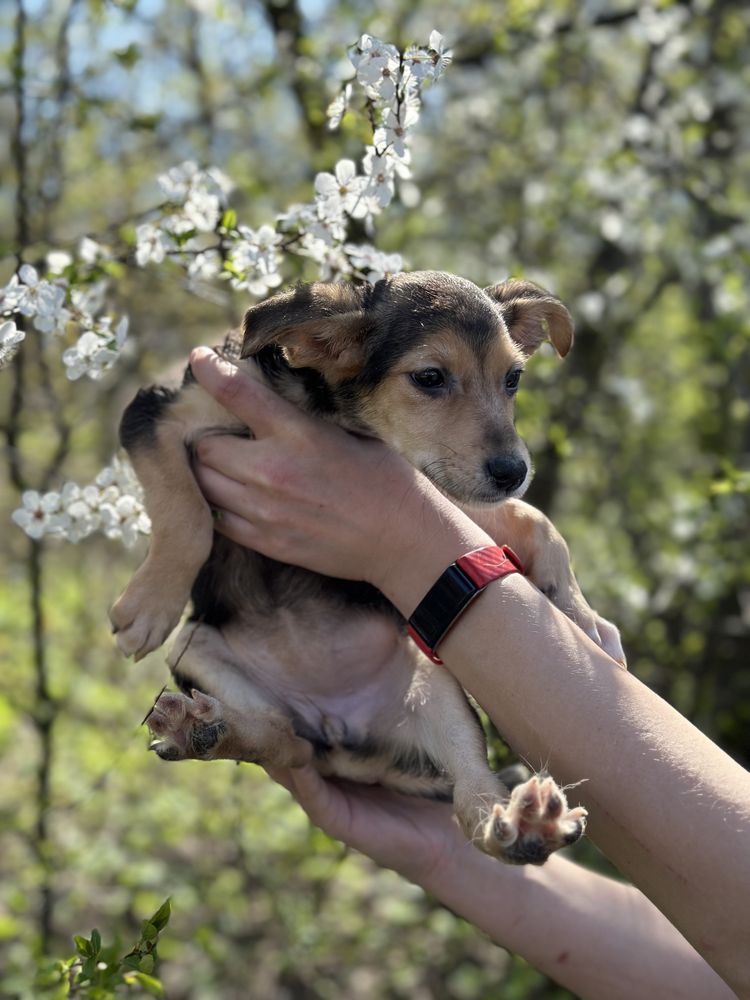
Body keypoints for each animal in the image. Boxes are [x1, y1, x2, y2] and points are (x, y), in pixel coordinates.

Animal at [111, 274, 624, 868]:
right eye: (429, 377)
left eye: (513, 378)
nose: (513, 471)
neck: (330, 410)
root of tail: (344, 733)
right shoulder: (159, 412)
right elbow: (185, 511)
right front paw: (150, 603)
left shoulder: (434, 483)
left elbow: (534, 519)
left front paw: (583, 618)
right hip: (195, 650)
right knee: (284, 738)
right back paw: (209, 730)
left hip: (434, 684)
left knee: (471, 798)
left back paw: (526, 825)